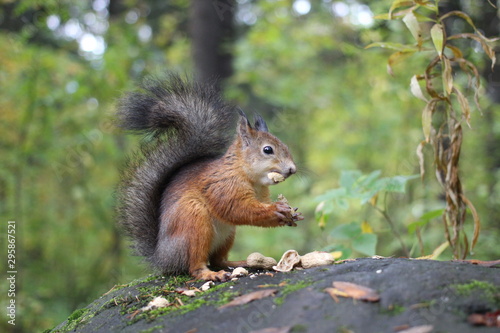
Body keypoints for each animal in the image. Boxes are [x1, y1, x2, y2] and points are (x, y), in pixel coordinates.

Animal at [116, 73, 302, 280]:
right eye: (267, 150)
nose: (292, 169)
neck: (248, 176)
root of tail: (163, 258)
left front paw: (290, 213)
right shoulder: (223, 186)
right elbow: (238, 208)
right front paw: (276, 210)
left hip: (227, 235)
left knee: (218, 260)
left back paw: (238, 263)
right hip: (193, 221)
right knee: (195, 265)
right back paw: (210, 274)